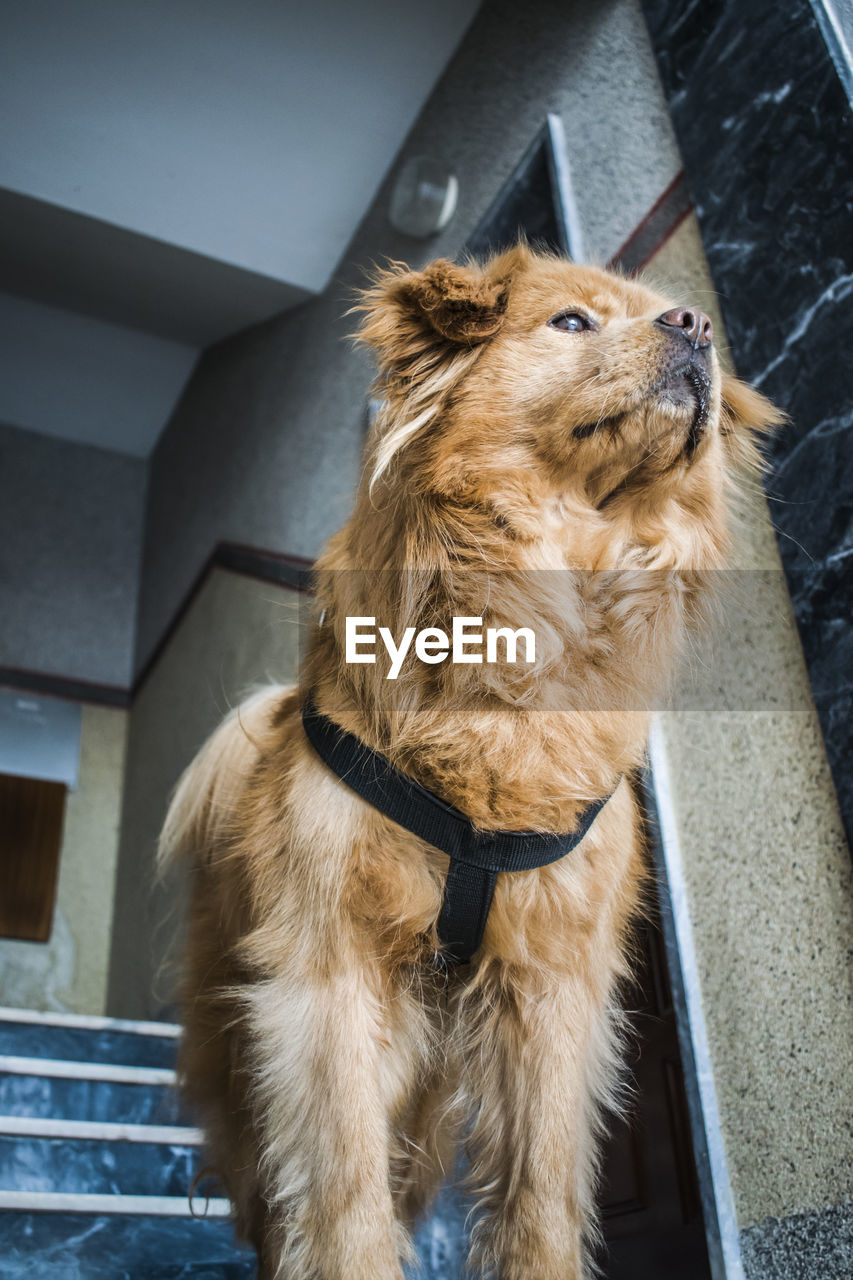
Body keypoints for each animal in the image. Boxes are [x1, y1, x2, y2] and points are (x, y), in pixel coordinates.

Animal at [157, 247, 778, 1280]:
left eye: (672, 315)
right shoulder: (329, 979)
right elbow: (343, 1200)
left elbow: (539, 1196)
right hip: (250, 1062)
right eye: (571, 322)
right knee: (276, 1205)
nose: (696, 326)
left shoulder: (553, 988)